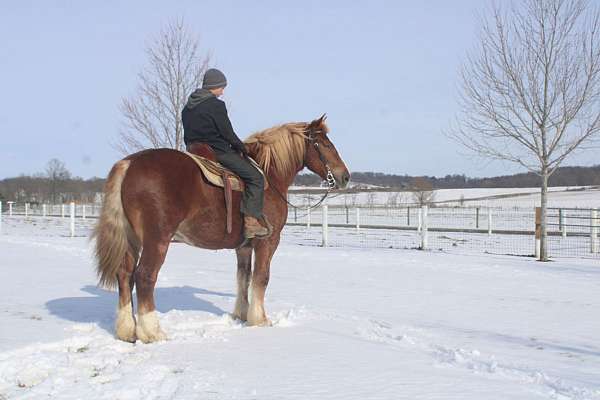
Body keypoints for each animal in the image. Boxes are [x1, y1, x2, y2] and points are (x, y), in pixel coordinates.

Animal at [91, 115, 350, 344]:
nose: (345, 177)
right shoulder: (268, 241)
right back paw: (152, 332)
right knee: (144, 276)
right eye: (326, 144)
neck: (269, 176)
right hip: (157, 241)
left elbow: (243, 277)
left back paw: (127, 330)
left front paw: (242, 314)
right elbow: (262, 277)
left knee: (124, 275)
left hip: (132, 240)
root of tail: (129, 164)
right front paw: (260, 319)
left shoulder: (243, 246)